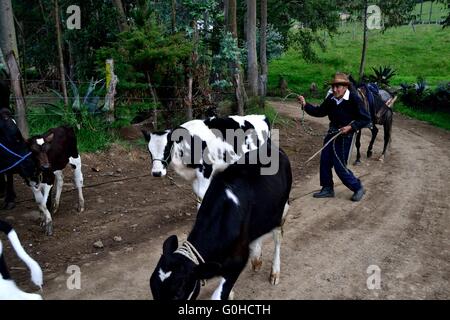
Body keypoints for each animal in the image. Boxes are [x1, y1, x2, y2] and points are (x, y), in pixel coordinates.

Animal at [149, 142, 294, 300]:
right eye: (153, 289)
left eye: (178, 294)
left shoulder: (238, 260)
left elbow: (218, 295)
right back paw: (256, 258)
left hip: (281, 209)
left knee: (278, 237)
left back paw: (275, 272)